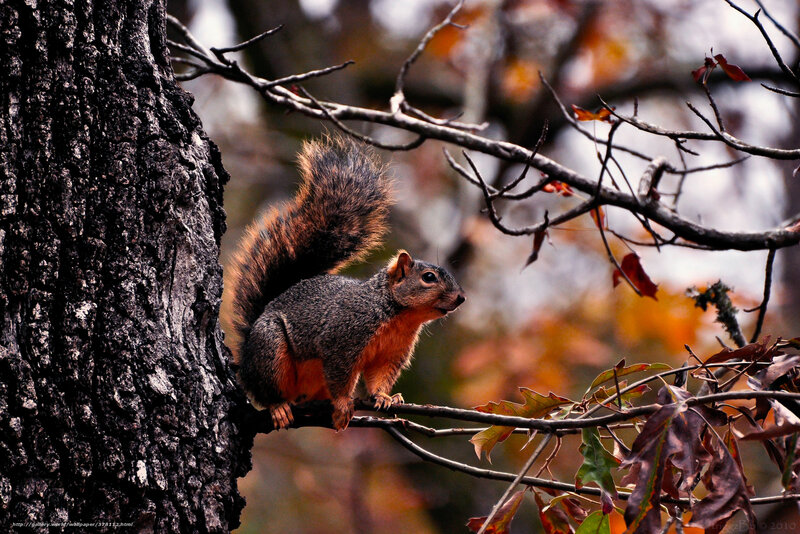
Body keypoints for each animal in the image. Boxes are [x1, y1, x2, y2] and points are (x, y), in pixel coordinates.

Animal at [228, 135, 465, 431]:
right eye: (429, 278)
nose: (461, 298)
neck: (399, 316)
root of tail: (246, 350)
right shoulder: (342, 339)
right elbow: (340, 375)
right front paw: (342, 404)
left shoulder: (391, 354)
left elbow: (379, 377)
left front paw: (385, 397)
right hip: (269, 348)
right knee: (265, 389)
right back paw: (279, 406)